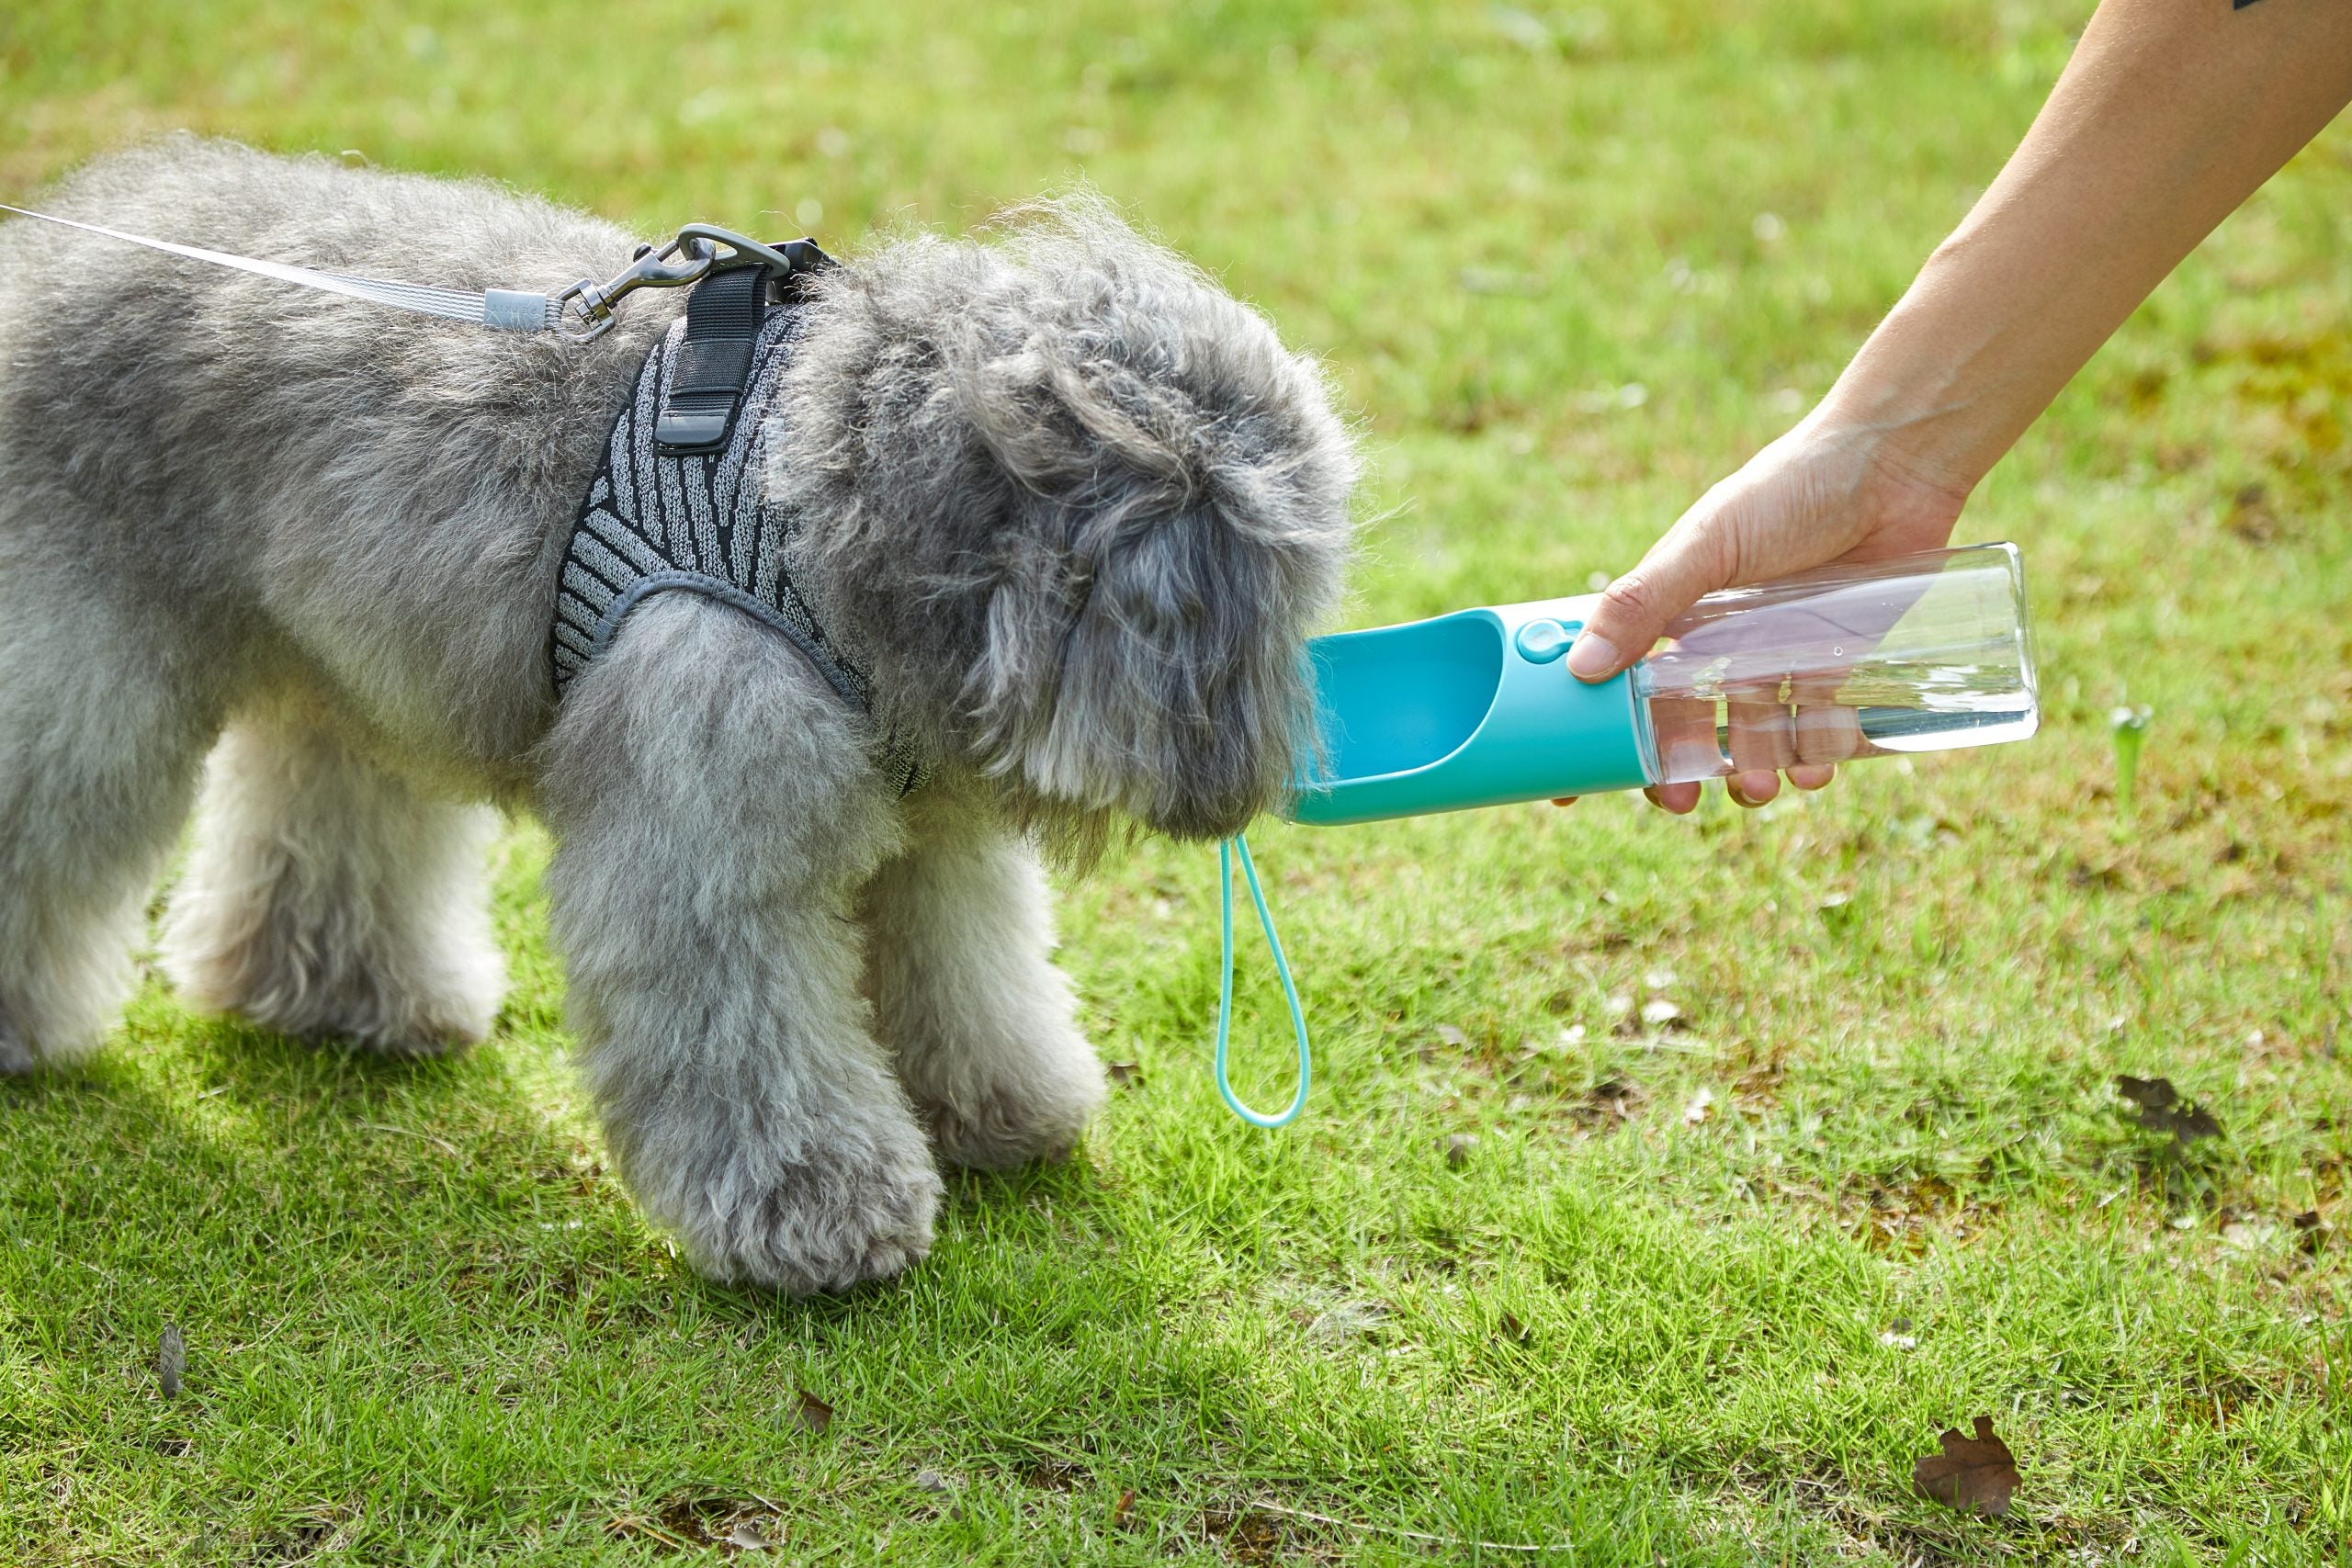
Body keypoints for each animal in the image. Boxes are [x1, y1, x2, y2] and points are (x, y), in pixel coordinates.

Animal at [0, 141, 1354, 1297]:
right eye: (1262, 598)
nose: (1260, 775)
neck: (842, 504)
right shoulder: (706, 844)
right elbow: (747, 1043)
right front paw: (818, 1213)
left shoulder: (933, 843)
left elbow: (968, 978)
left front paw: (998, 1110)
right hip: (84, 678)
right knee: (49, 830)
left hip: (343, 667)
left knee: (322, 819)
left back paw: (338, 997)